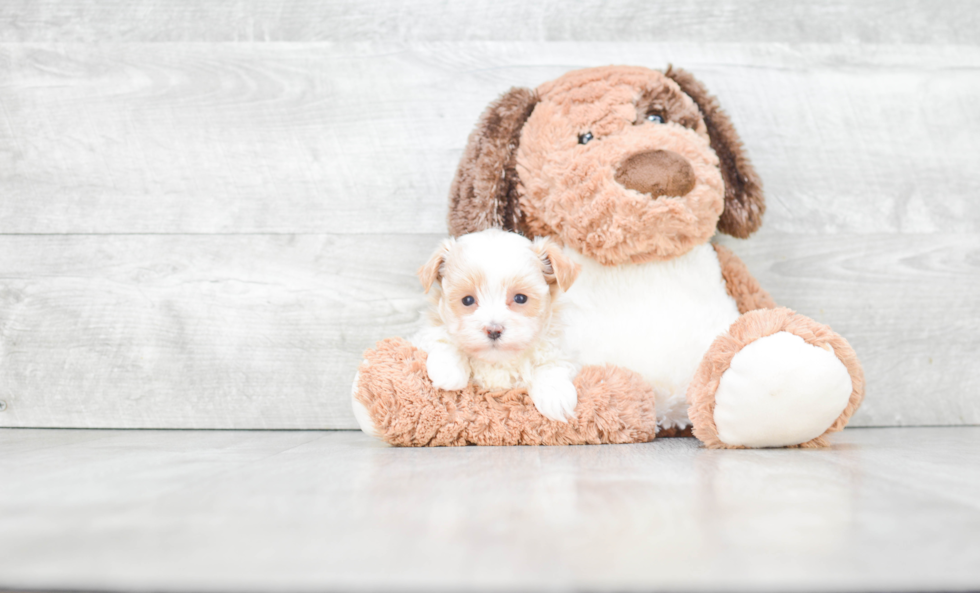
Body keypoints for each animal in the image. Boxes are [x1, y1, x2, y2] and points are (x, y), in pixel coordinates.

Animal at [410, 228, 580, 420]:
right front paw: (448, 370)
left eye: (520, 298)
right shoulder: (422, 336)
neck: (496, 362)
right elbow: (441, 337)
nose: (493, 330)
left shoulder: (561, 349)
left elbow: (551, 363)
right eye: (468, 300)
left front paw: (555, 395)